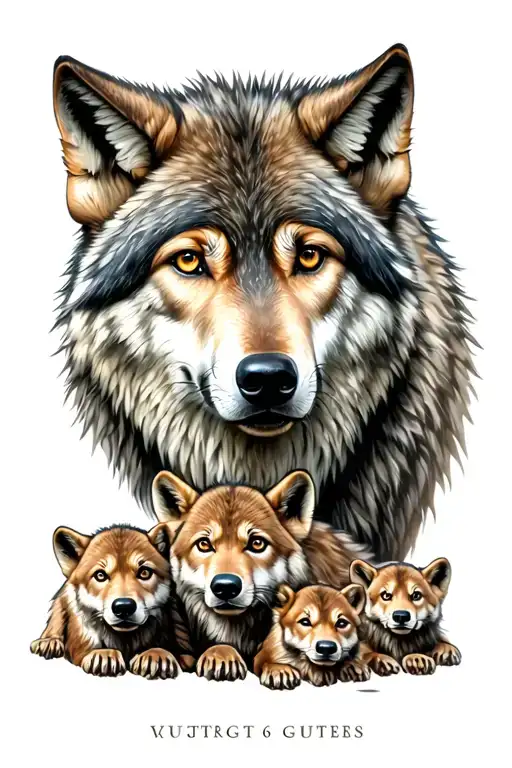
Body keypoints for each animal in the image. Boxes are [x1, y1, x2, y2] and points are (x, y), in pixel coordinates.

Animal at [31, 524, 193, 678]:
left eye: (145, 572)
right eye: (100, 575)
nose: (124, 607)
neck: (125, 641)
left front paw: (156, 655)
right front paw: (104, 655)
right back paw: (48, 643)